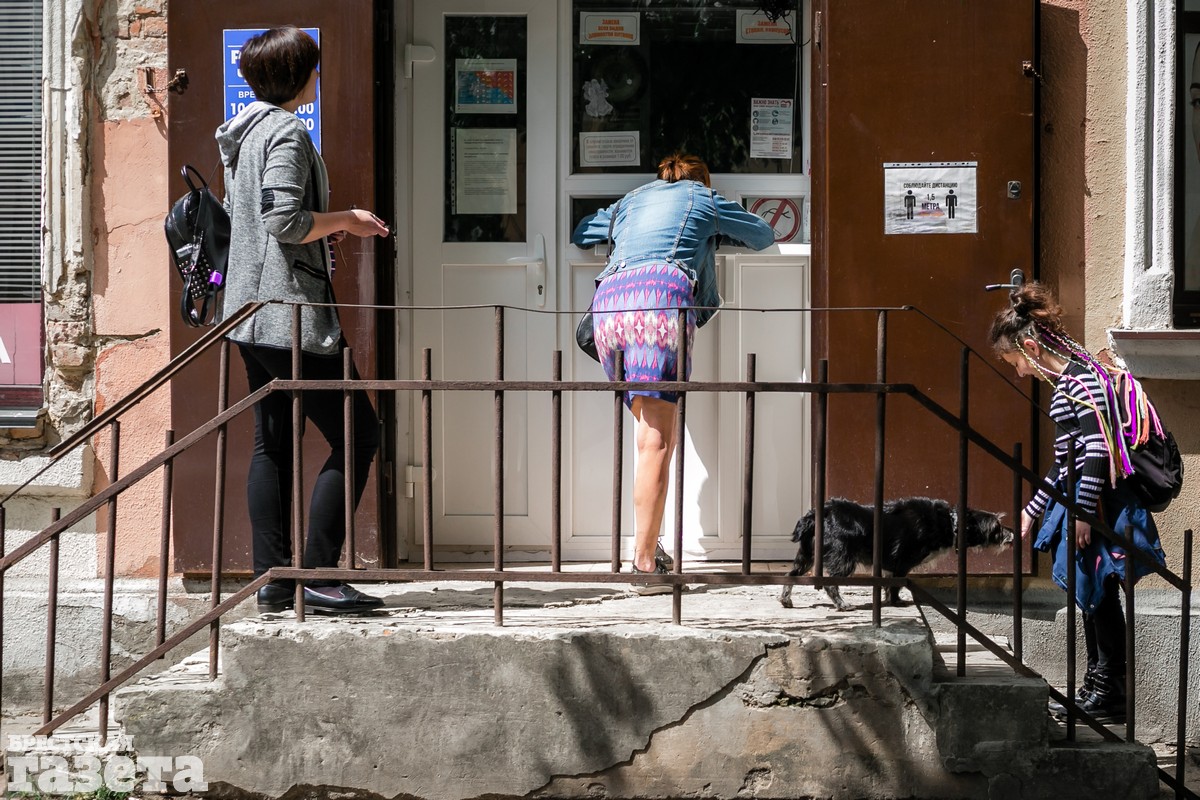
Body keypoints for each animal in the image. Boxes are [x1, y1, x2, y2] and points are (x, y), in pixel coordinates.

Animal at [778, 497, 1014, 611]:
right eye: (996, 527)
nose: (1012, 534)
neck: (950, 523)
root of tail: (816, 514)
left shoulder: (891, 566)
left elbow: (889, 585)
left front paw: (890, 601)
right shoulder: (902, 563)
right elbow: (896, 585)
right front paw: (896, 602)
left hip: (807, 556)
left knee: (790, 575)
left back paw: (785, 600)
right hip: (843, 559)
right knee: (830, 584)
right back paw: (842, 605)